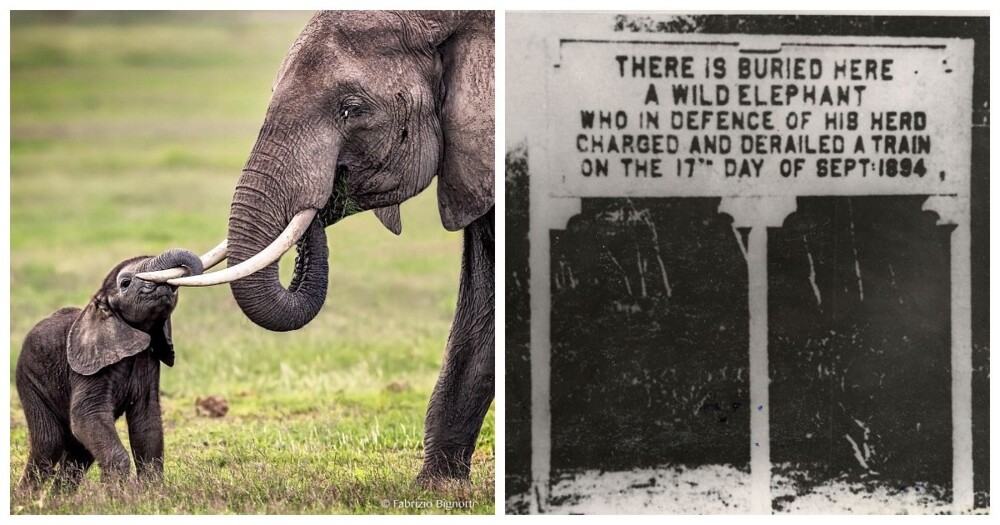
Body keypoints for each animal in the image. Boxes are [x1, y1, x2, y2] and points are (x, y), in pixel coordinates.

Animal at [16, 250, 203, 492]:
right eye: (125, 283)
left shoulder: (149, 363)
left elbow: (147, 422)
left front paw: (152, 493)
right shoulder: (89, 365)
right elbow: (86, 415)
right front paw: (117, 496)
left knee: (79, 451)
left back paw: (57, 498)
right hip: (29, 380)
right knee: (49, 444)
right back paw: (26, 499)